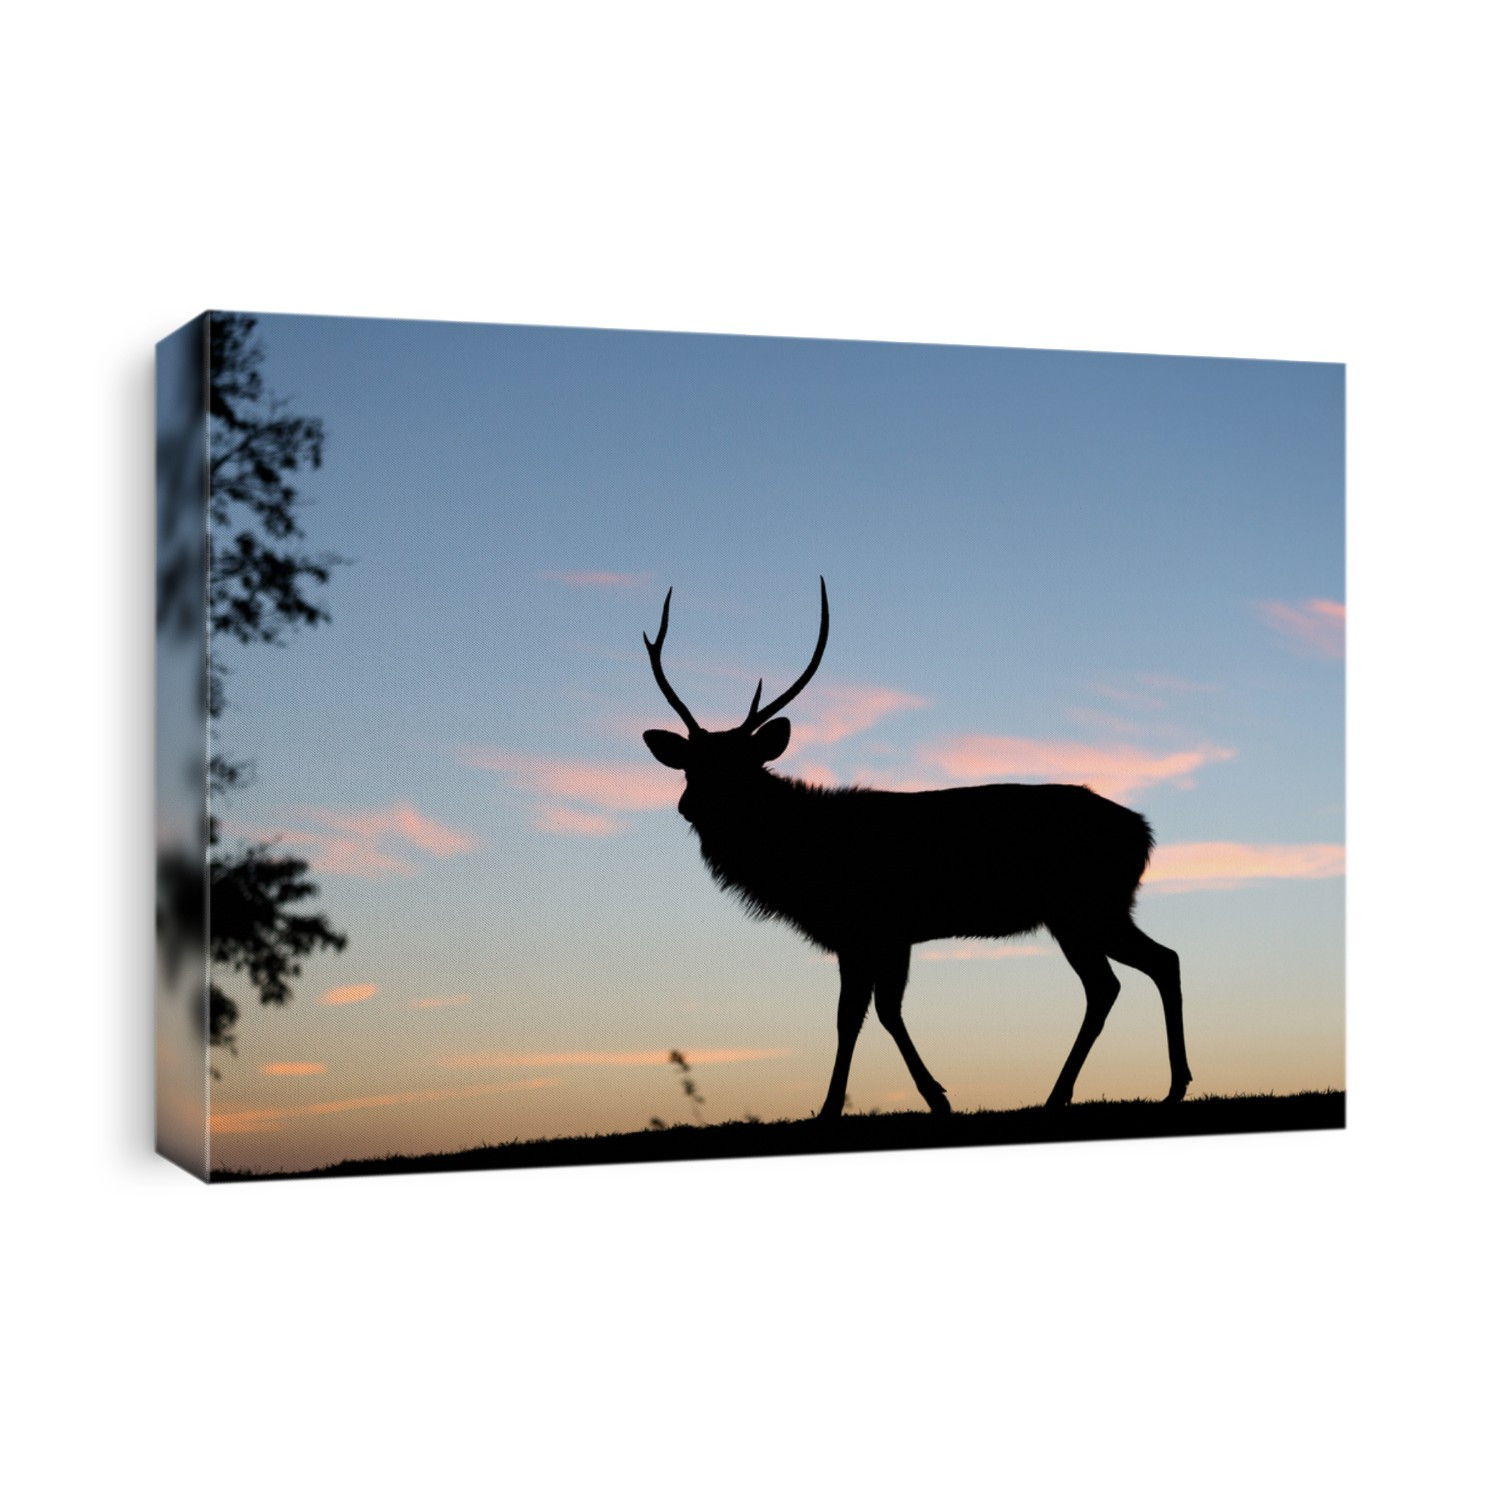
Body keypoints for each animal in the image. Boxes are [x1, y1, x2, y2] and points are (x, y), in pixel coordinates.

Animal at [642, 579, 1191, 1121]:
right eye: (690, 765)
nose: (688, 805)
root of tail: (1142, 831)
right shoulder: (868, 937)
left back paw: (1114, 1090)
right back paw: (1126, 1089)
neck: (805, 864)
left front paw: (902, 1101)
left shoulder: (877, 928)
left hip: (1085, 908)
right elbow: (863, 1015)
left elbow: (866, 1014)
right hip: (1089, 912)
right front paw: (875, 1102)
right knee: (1139, 971)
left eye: (738, 766)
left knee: (1129, 975)